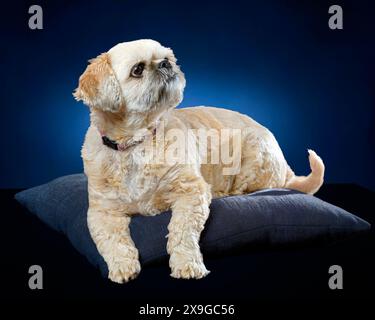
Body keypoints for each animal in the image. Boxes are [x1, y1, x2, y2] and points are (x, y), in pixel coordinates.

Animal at [74, 39, 326, 282]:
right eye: (138, 70)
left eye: (167, 58)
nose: (166, 64)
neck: (137, 144)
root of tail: (285, 166)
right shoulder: (101, 211)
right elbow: (112, 240)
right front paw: (122, 266)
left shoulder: (191, 192)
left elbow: (182, 231)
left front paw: (187, 264)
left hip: (254, 155)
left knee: (247, 188)